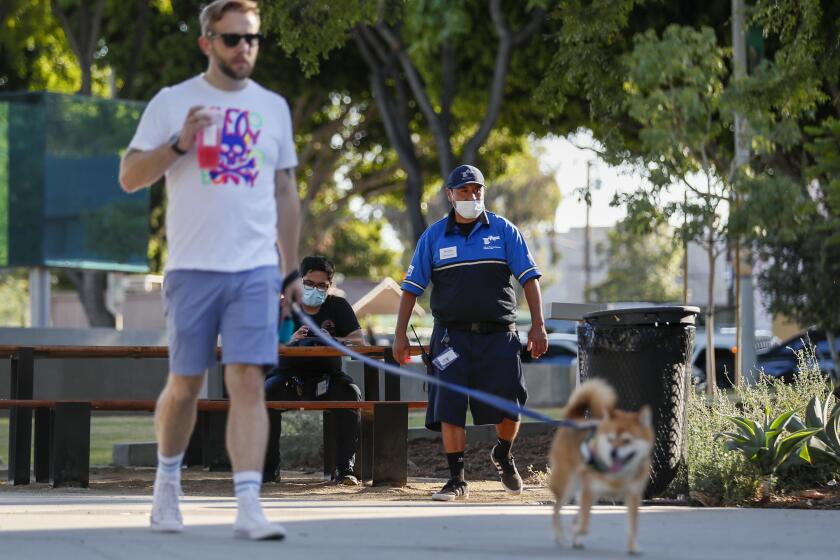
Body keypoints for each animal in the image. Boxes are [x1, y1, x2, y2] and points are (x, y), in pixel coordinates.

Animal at [552, 378, 656, 552]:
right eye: (610, 439)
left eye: (627, 441)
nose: (613, 452)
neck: (617, 475)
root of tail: (574, 419)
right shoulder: (589, 492)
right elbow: (584, 526)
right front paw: (576, 531)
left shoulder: (633, 496)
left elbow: (633, 526)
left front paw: (633, 547)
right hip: (568, 485)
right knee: (556, 510)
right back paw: (561, 537)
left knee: (574, 513)